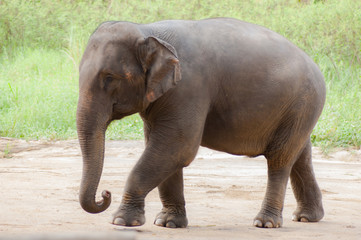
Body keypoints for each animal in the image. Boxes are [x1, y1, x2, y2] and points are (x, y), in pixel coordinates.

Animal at [77, 17, 324, 229]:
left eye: (110, 78)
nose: (105, 194)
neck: (148, 30)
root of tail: (315, 65)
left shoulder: (189, 87)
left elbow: (178, 146)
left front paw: (122, 221)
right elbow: (166, 150)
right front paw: (168, 223)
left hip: (302, 103)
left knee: (279, 159)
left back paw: (265, 223)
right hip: (299, 112)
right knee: (300, 156)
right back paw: (307, 217)